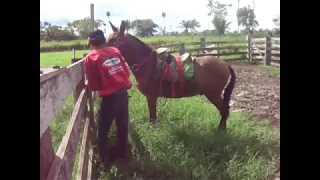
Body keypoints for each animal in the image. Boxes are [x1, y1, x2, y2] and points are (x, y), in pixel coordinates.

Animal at [106, 20, 236, 131]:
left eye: (114, 40)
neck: (148, 64)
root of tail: (225, 64)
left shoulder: (151, 96)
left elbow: (152, 118)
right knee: (225, 110)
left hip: (214, 94)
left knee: (224, 110)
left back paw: (221, 130)